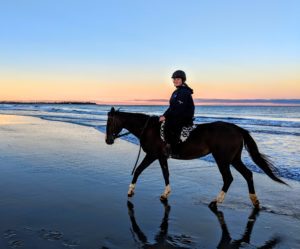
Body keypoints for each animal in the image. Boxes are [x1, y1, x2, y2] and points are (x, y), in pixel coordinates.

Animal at [105, 107, 286, 208]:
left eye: (109, 123)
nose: (108, 141)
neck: (149, 129)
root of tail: (237, 129)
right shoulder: (161, 157)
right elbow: (165, 174)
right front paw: (165, 194)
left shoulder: (152, 155)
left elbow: (138, 170)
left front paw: (130, 191)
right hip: (234, 159)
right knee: (248, 174)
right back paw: (255, 202)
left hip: (222, 159)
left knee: (228, 178)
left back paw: (216, 201)